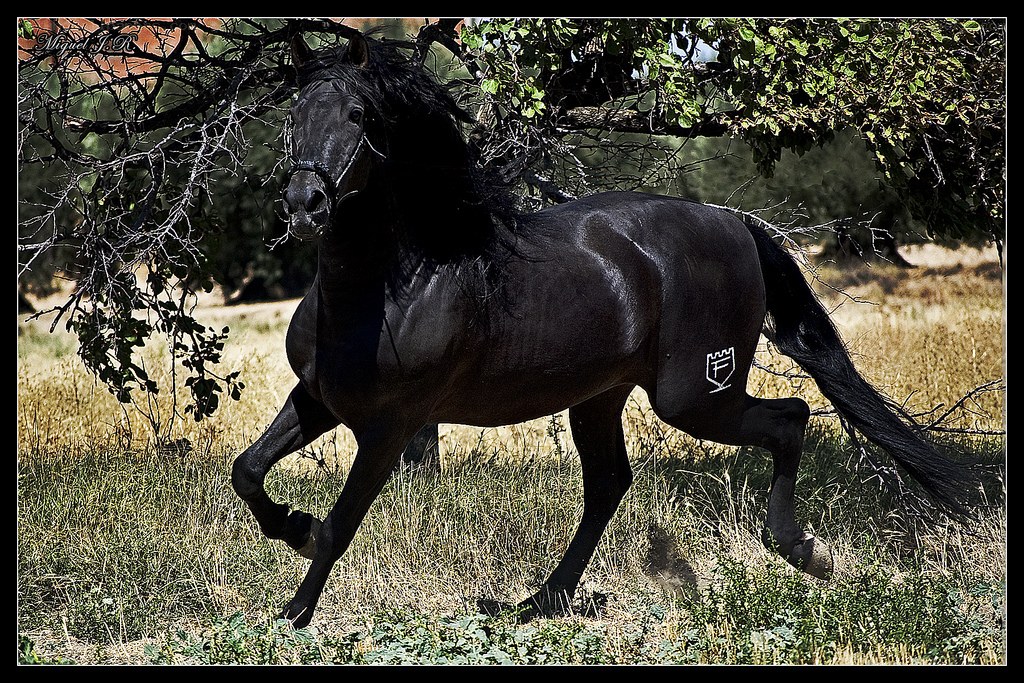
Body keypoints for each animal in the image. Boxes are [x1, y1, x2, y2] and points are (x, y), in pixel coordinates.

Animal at [231, 31, 976, 628]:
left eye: (358, 115)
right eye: (294, 115)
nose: (306, 205)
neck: (398, 281)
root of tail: (735, 223)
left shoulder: (390, 426)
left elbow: (339, 525)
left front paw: (293, 611)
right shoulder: (319, 399)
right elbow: (248, 471)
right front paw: (288, 526)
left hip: (694, 395)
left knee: (788, 418)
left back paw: (802, 550)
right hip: (600, 396)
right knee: (610, 483)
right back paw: (540, 601)